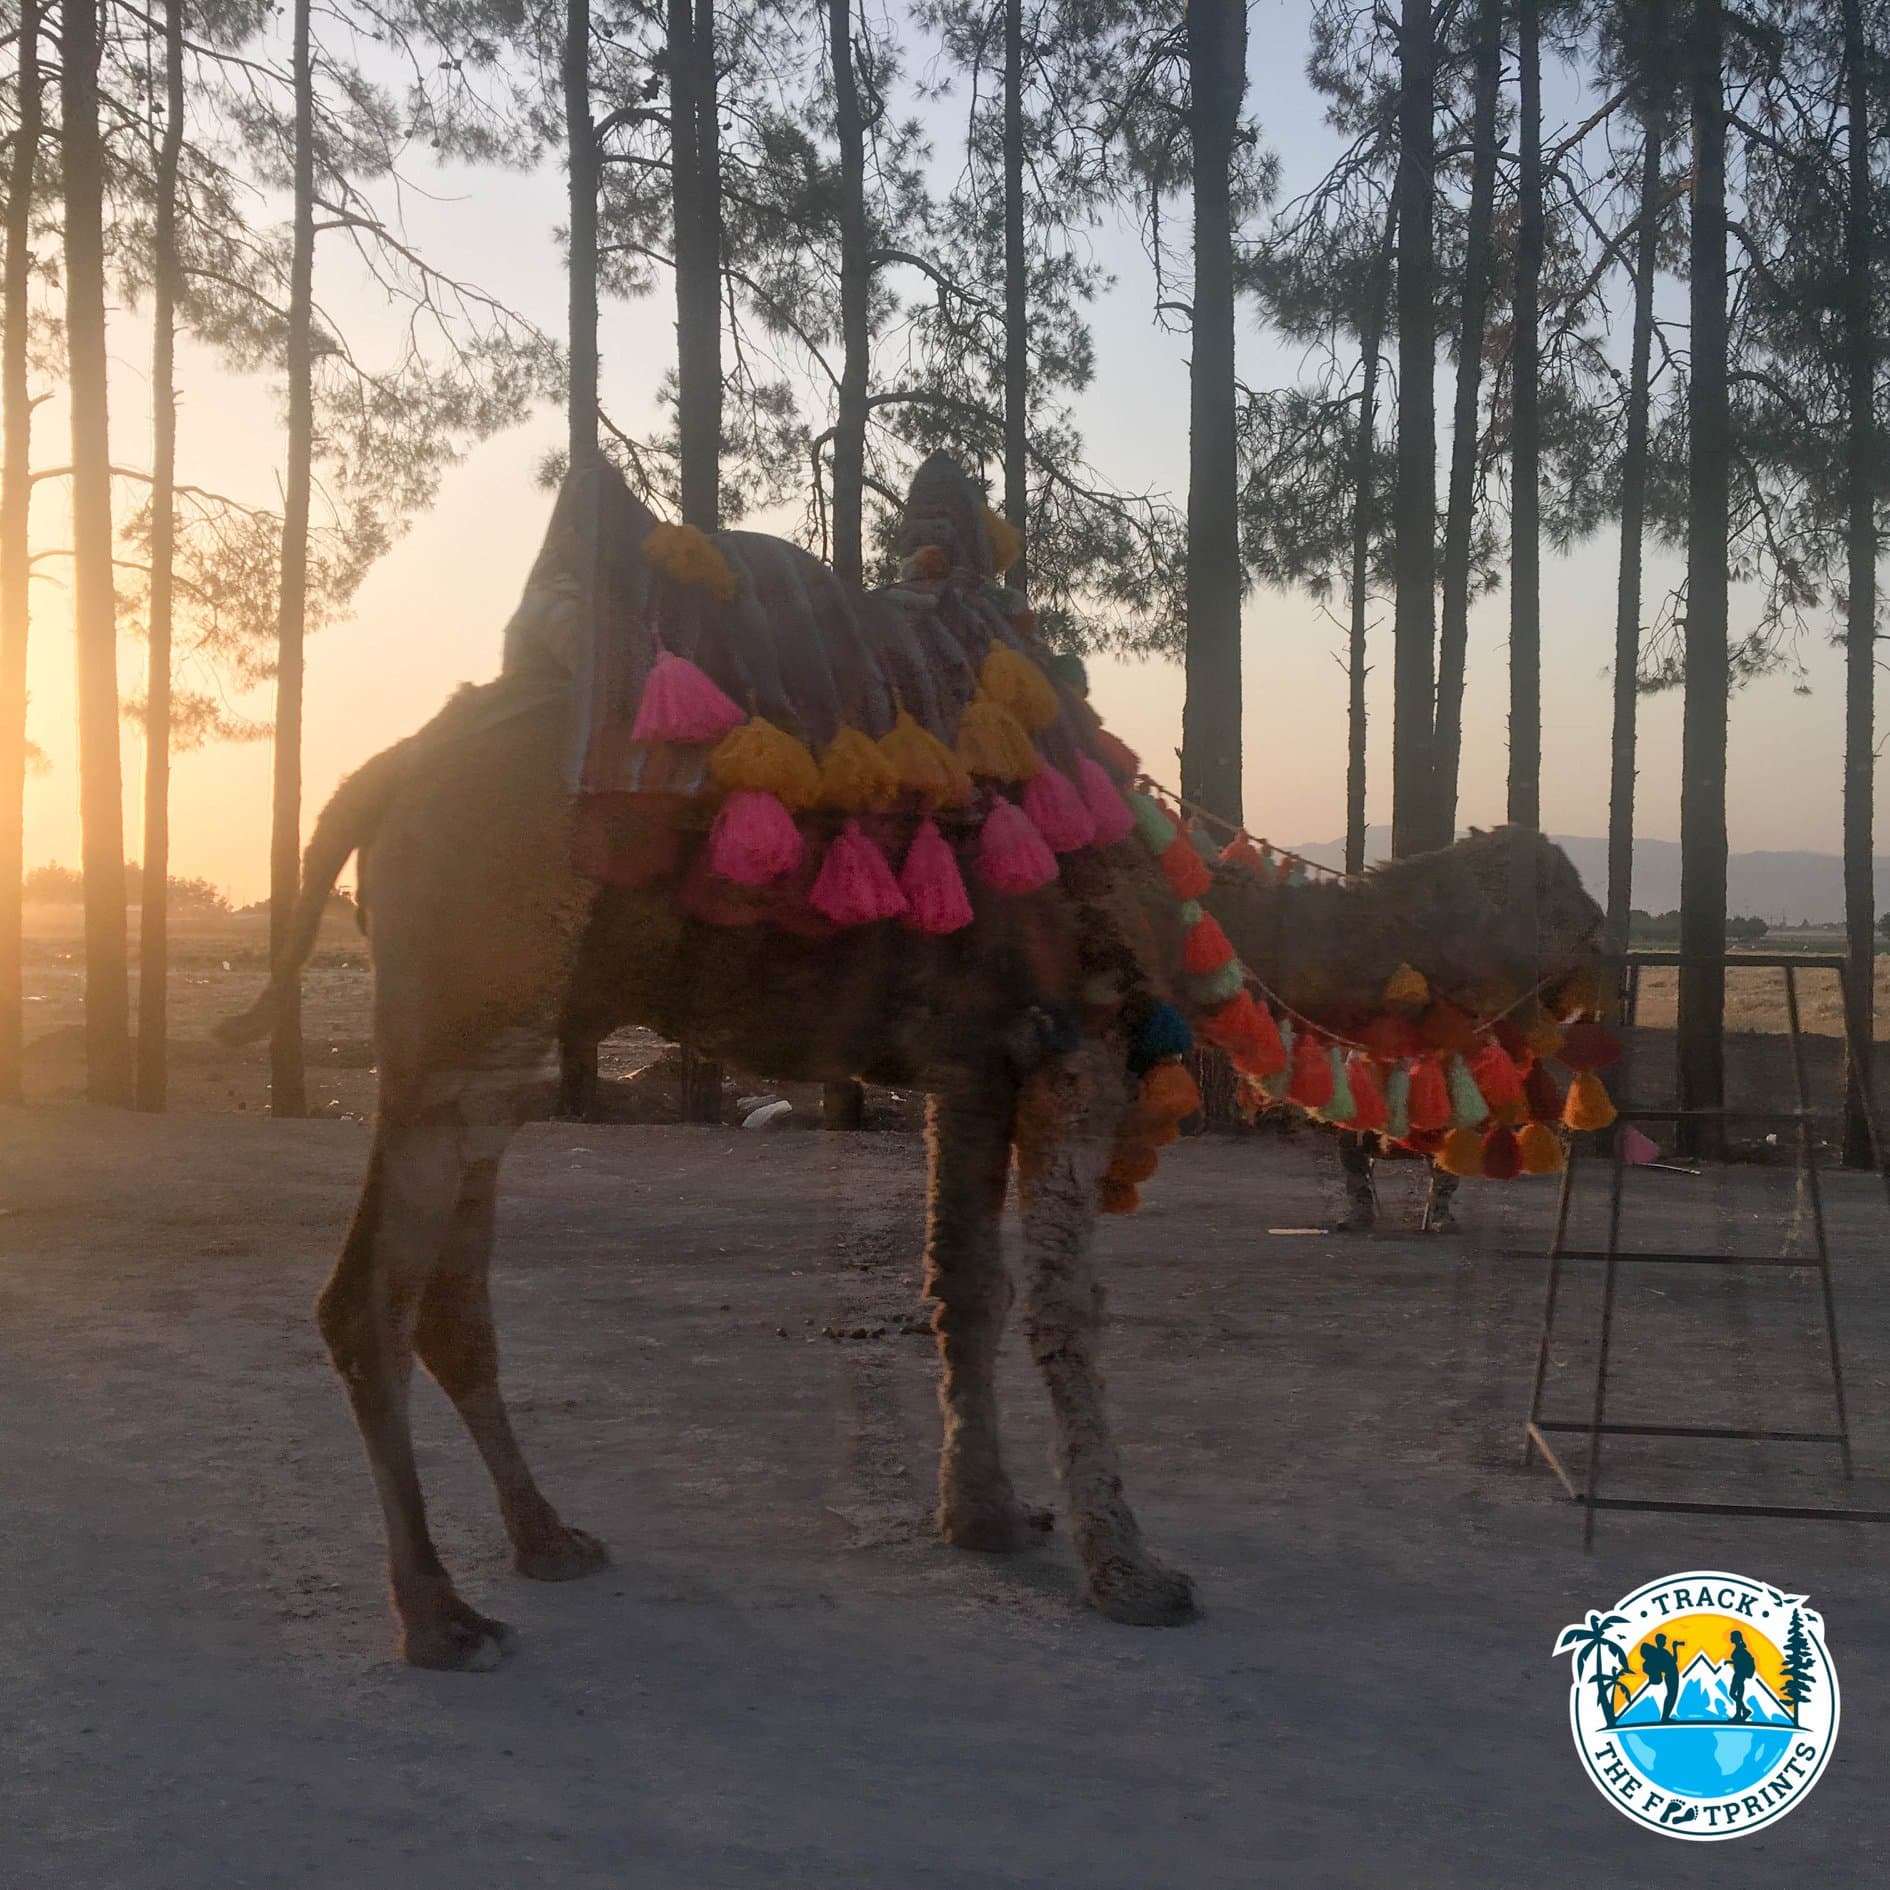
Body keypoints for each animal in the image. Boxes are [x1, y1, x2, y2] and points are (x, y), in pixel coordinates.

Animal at [223, 456, 1602, 1670]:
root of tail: (379, 773)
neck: (1185, 893)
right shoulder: (1076, 1048)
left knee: (451, 1292)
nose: (1604, 944)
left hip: (482, 1031)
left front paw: (987, 1518)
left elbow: (966, 1287)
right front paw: (1134, 1574)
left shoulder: (973, 1071)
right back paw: (440, 1618)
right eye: (1560, 891)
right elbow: (1065, 1307)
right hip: (471, 985)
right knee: (367, 1298)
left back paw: (548, 1541)